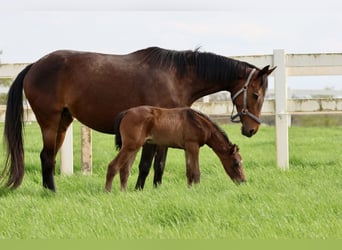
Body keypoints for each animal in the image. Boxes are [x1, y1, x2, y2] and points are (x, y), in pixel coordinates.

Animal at [105, 105, 246, 191]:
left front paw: (190, 190)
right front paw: (198, 190)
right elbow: (196, 172)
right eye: (236, 163)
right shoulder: (193, 146)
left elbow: (189, 172)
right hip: (130, 146)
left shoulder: (187, 148)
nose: (243, 181)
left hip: (134, 147)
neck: (199, 122)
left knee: (125, 170)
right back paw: (108, 192)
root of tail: (126, 113)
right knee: (113, 166)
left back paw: (124, 192)